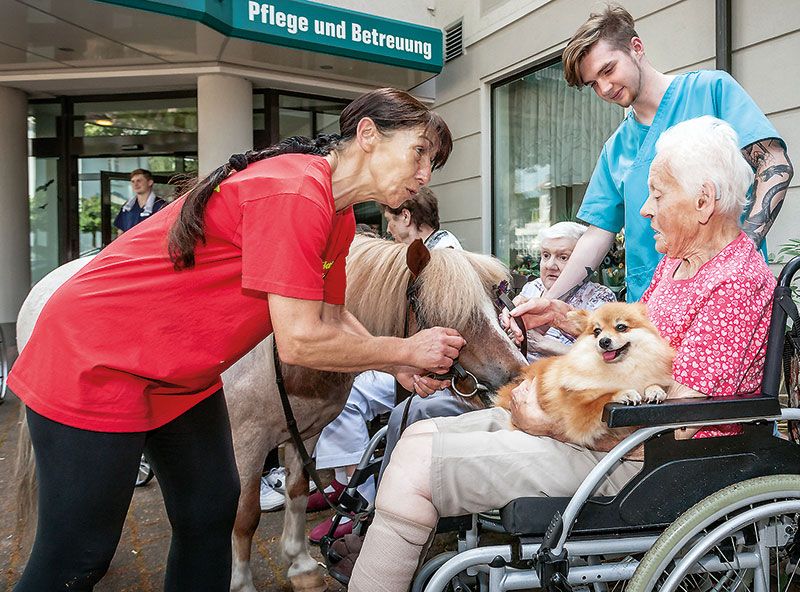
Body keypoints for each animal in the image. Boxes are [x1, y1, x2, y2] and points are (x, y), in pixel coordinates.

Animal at [494, 302, 676, 446]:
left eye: (621, 327)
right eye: (597, 331)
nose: (604, 341)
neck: (620, 367)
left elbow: (652, 384)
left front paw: (654, 390)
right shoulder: (578, 412)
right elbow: (602, 399)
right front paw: (624, 393)